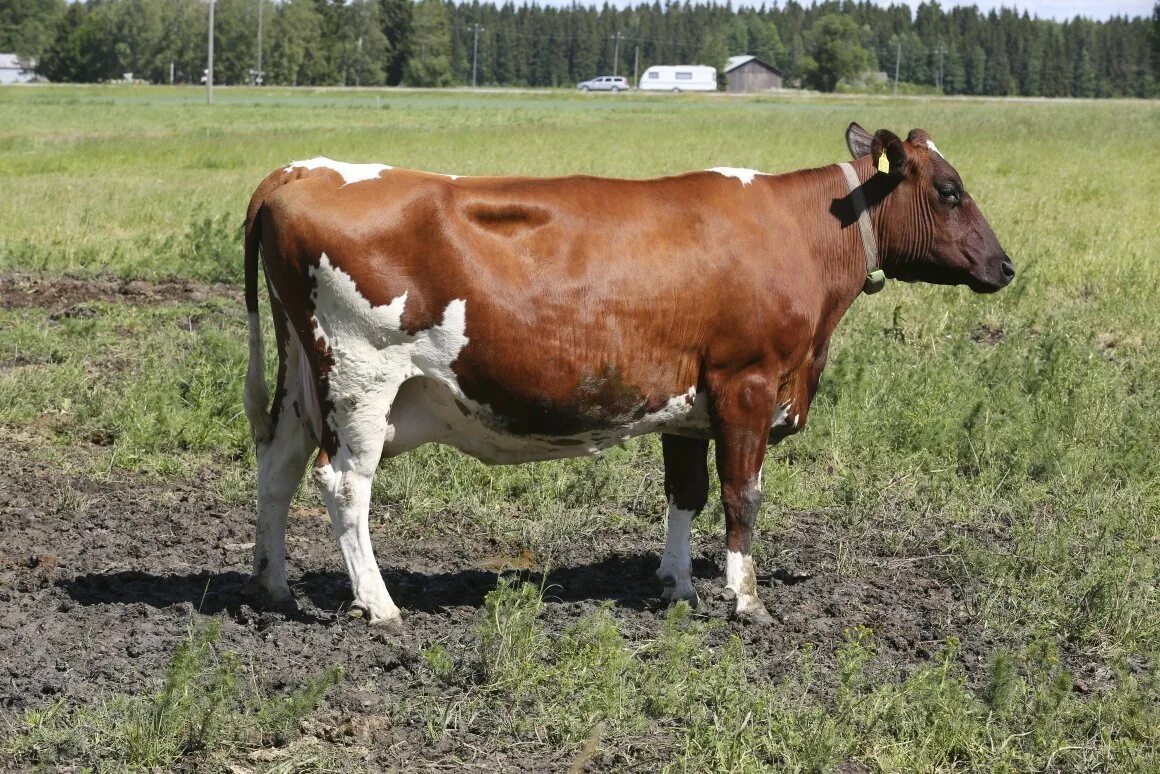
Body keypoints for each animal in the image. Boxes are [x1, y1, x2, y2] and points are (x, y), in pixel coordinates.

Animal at [240, 124, 1011, 626]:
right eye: (949, 191)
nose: (1004, 267)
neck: (805, 231)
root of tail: (302, 169)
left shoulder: (690, 402)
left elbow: (687, 494)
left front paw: (677, 587)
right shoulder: (746, 382)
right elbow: (743, 496)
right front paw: (746, 600)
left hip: (305, 383)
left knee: (277, 470)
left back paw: (274, 590)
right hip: (360, 379)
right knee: (343, 485)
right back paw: (380, 607)